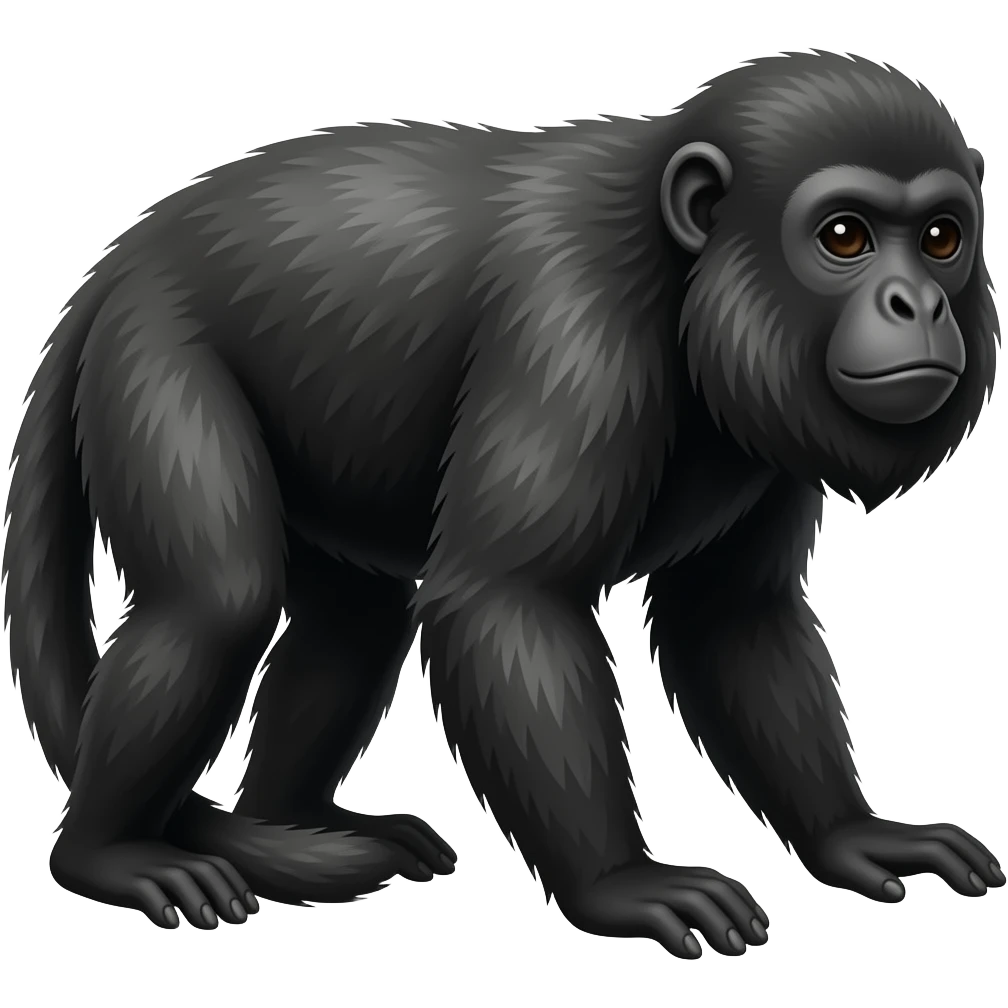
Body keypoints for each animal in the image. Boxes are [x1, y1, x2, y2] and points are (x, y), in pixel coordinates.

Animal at [3, 51, 1004, 957]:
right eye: (845, 237)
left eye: (942, 239)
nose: (917, 302)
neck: (688, 277)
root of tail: (115, 263)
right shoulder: (576, 332)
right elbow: (509, 601)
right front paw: (620, 885)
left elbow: (735, 619)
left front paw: (852, 834)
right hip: (150, 361)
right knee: (219, 600)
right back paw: (112, 853)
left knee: (351, 619)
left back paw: (292, 828)